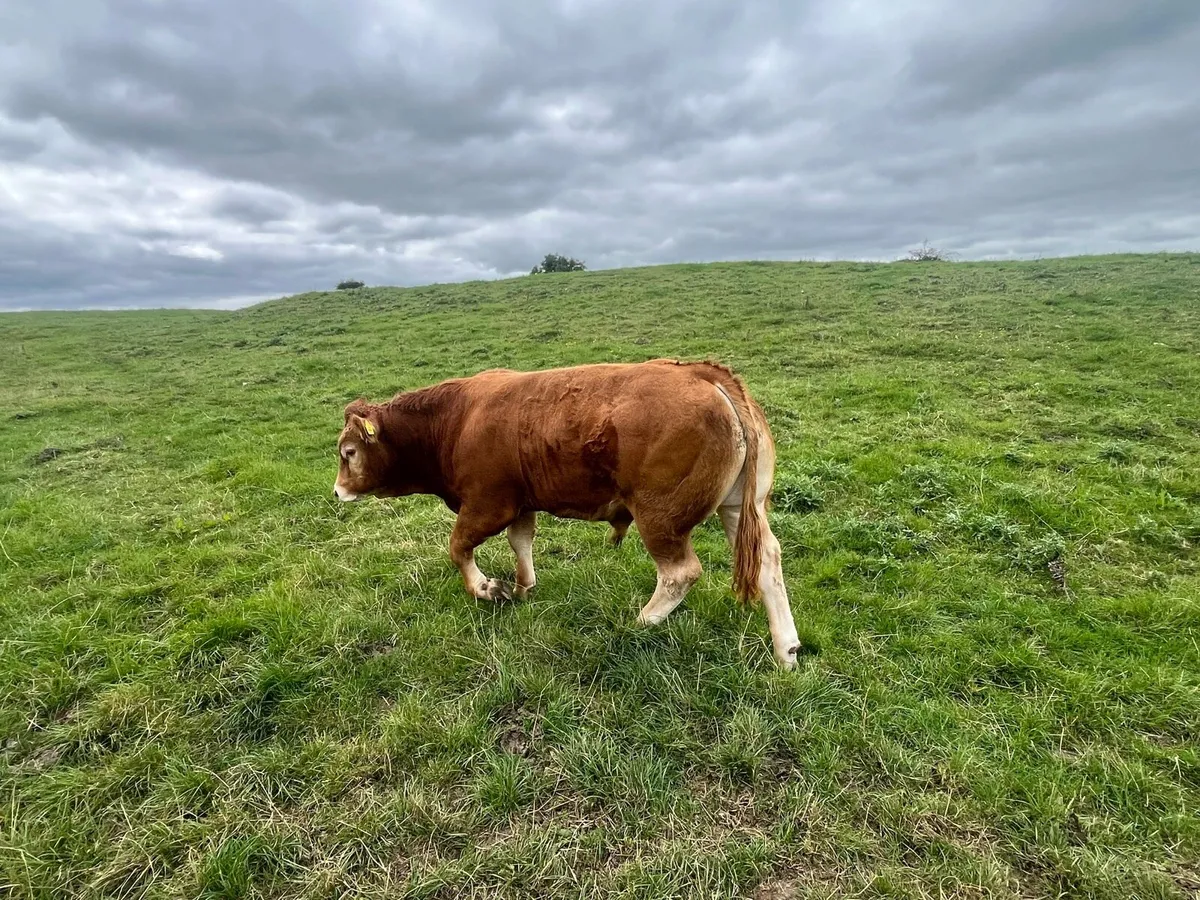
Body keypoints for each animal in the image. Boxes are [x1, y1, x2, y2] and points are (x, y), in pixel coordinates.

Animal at [333, 359, 803, 668]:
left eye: (349, 452)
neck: (458, 419)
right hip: (740, 507)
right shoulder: (521, 502)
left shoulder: (487, 503)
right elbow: (520, 541)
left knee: (680, 573)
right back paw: (787, 650)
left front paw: (486, 588)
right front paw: (523, 587)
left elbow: (458, 546)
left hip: (661, 517)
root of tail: (701, 372)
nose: (337, 491)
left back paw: (640, 622)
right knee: (768, 561)